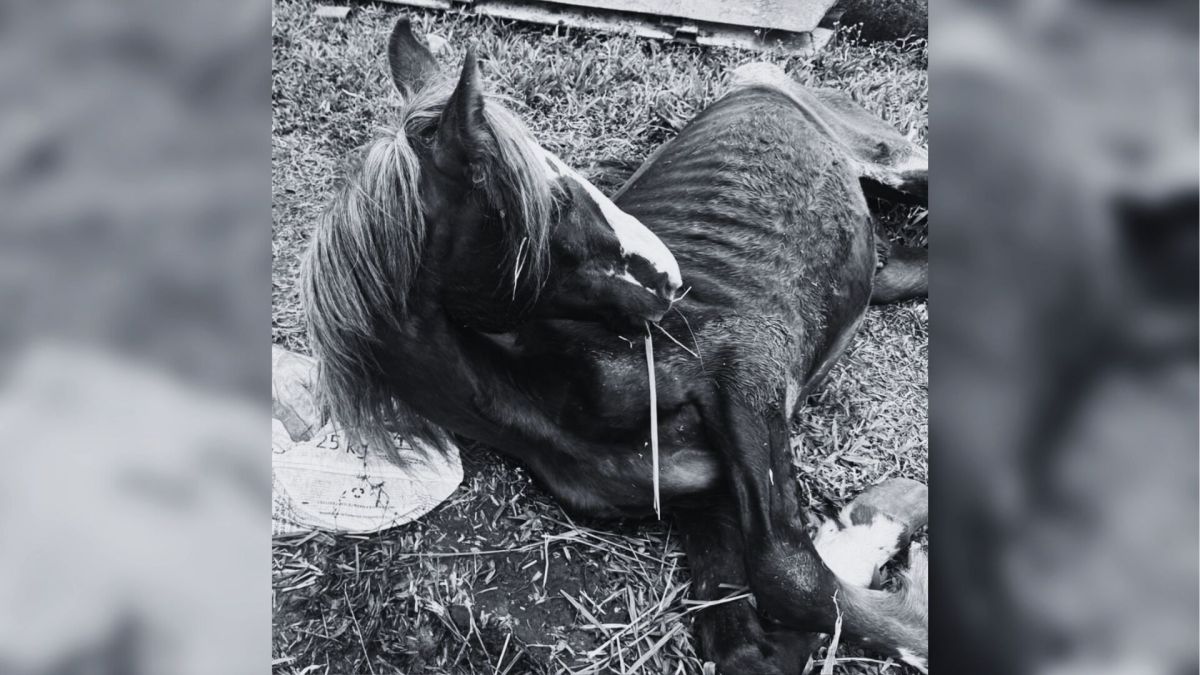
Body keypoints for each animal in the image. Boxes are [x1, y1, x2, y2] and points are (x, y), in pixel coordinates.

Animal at [302, 17, 927, 673]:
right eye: (552, 203)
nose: (671, 279)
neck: (553, 394)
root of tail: (761, 76)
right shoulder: (706, 499)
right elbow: (752, 639)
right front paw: (877, 524)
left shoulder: (748, 370)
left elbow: (791, 575)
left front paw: (892, 534)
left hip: (896, 164)